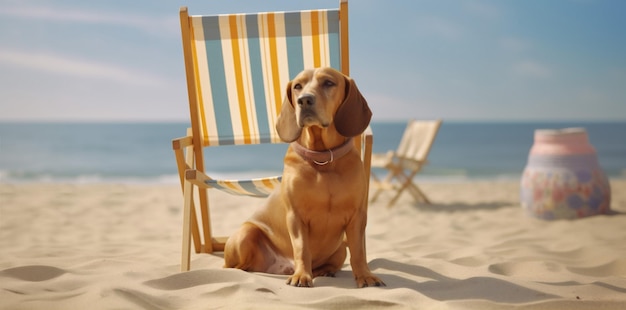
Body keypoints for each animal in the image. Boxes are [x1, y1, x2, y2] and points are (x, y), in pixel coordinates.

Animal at [222, 68, 382, 288]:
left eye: (328, 83)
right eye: (298, 86)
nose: (304, 100)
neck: (324, 159)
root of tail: (282, 267)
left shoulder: (357, 216)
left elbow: (358, 251)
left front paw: (365, 275)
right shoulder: (296, 216)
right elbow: (301, 248)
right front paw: (302, 275)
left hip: (340, 247)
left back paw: (325, 271)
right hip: (245, 235)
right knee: (236, 267)